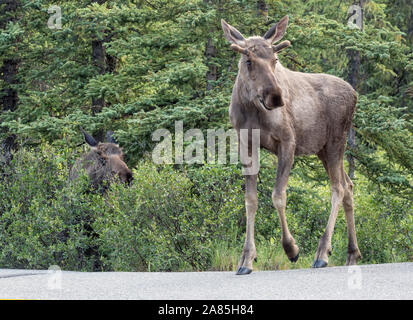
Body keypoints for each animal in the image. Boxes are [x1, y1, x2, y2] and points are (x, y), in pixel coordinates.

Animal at [220, 15, 358, 276]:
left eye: (275, 60)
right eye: (248, 60)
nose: (275, 96)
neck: (252, 110)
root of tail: (355, 94)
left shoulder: (287, 142)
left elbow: (278, 195)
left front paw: (291, 249)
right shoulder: (246, 144)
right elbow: (250, 200)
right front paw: (247, 258)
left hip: (337, 142)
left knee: (338, 188)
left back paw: (322, 253)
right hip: (323, 149)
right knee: (349, 185)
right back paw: (352, 252)